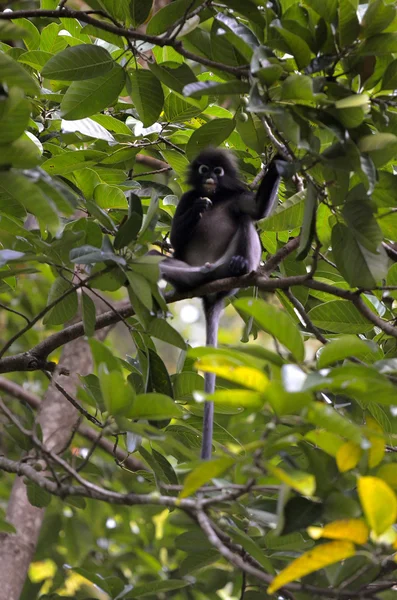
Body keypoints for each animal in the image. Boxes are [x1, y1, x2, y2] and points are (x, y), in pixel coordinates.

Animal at [153, 150, 280, 460]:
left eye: (218, 171)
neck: (217, 196)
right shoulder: (187, 197)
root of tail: (212, 293)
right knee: (155, 261)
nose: (210, 177)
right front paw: (199, 207)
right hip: (193, 272)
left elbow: (256, 210)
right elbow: (176, 237)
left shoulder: (237, 196)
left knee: (245, 221)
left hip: (226, 269)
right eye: (204, 169)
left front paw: (280, 160)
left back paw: (240, 265)